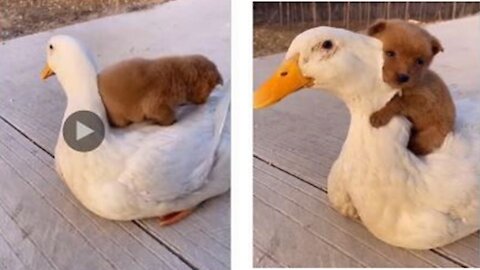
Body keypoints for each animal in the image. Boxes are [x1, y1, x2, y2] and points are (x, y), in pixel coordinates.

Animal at [368, 20, 454, 155]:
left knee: (419, 145)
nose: (403, 77)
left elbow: (399, 100)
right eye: (390, 53)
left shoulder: (425, 100)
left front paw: (380, 115)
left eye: (419, 61)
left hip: (431, 135)